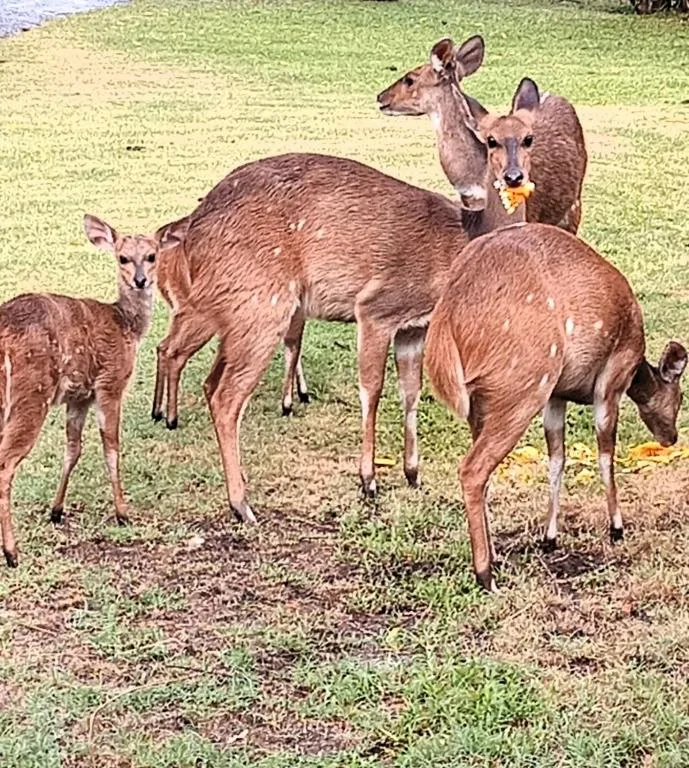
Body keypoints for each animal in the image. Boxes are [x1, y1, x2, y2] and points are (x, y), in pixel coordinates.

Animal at [0, 214, 185, 568]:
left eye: (152, 255)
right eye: (123, 257)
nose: (140, 280)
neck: (126, 324)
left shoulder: (79, 396)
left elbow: (73, 449)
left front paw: (56, 511)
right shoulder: (110, 383)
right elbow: (111, 447)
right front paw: (123, 513)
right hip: (31, 395)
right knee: (5, 464)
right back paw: (12, 553)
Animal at [154, 216, 310, 423]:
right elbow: (294, 345)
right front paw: (289, 404)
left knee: (163, 346)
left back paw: (158, 412)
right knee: (174, 352)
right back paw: (171, 419)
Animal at [424, 222, 687, 592]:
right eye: (680, 396)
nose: (671, 437)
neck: (637, 366)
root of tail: (448, 320)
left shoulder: (557, 396)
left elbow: (556, 458)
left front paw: (550, 538)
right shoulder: (611, 380)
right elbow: (605, 453)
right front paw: (616, 528)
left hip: (487, 401)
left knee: (483, 469)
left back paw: (495, 557)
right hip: (524, 386)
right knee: (472, 469)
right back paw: (485, 575)